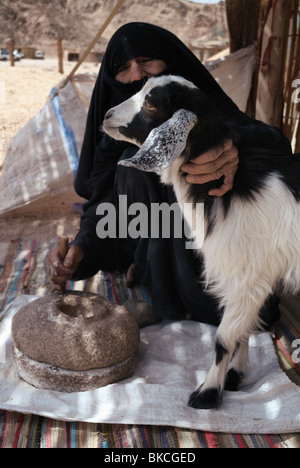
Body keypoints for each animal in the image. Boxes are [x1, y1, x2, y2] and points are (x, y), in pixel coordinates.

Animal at [103, 74, 300, 410]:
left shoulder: (250, 273)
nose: (107, 116)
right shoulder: (249, 274)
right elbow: (244, 328)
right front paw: (235, 377)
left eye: (152, 103)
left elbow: (224, 336)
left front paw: (207, 393)